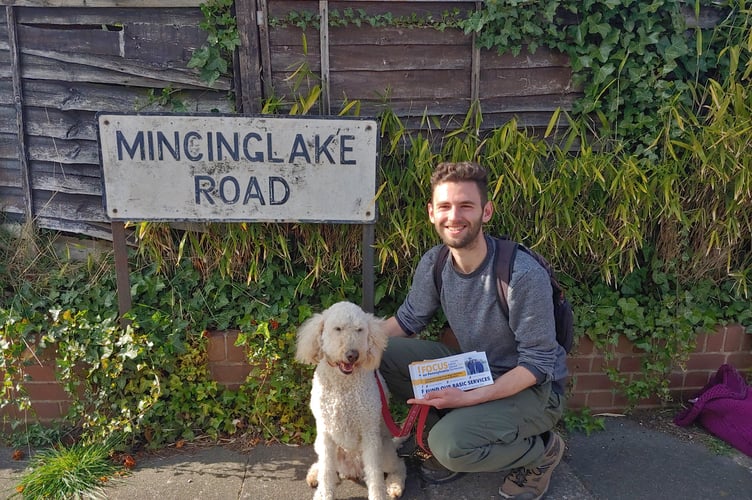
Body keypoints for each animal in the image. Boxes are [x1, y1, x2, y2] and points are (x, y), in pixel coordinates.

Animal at [296, 300, 406, 500]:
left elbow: (375, 475)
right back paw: (315, 474)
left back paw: (394, 486)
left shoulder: (370, 434)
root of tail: (351, 470)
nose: (352, 354)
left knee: (399, 466)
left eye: (360, 330)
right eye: (338, 328)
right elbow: (326, 470)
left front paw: (378, 495)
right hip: (321, 445)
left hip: (384, 450)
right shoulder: (325, 433)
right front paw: (324, 493)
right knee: (324, 465)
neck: (344, 386)